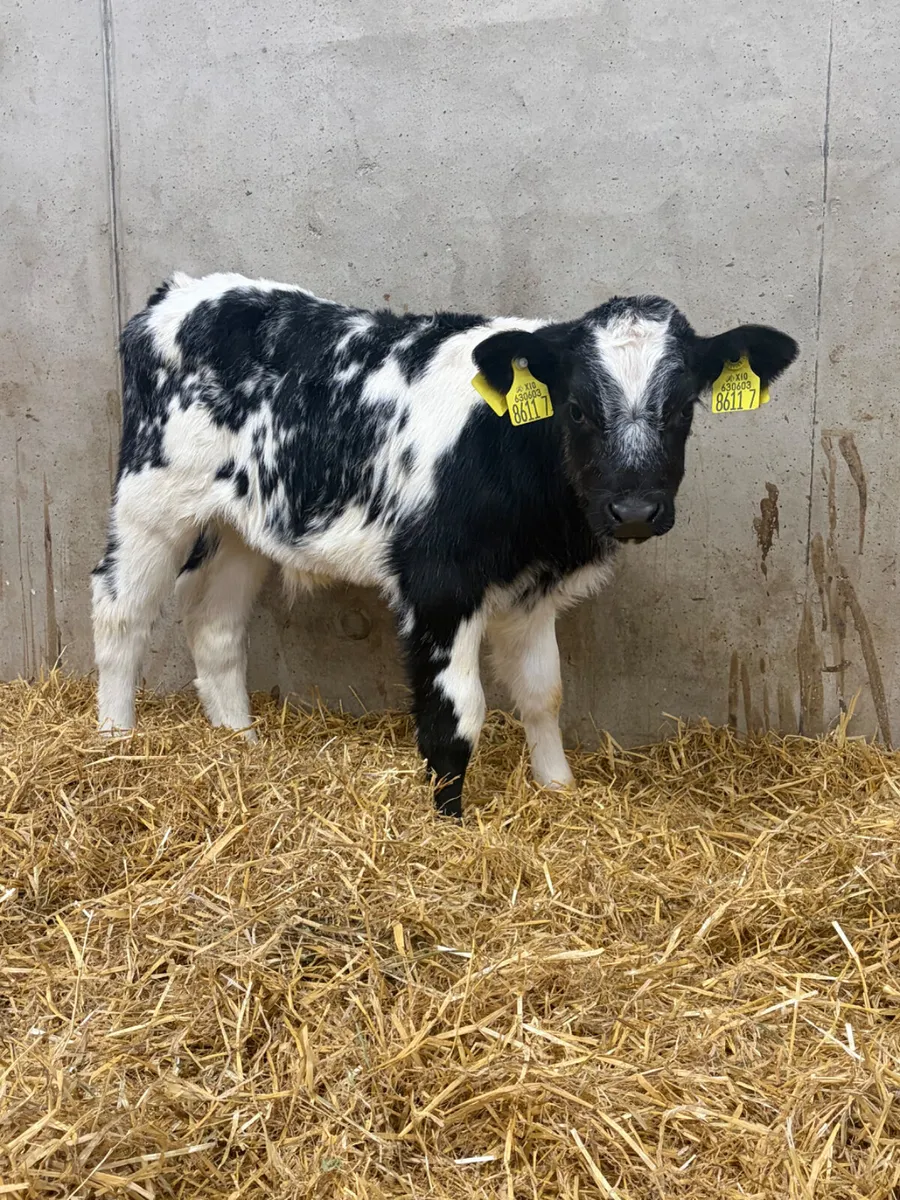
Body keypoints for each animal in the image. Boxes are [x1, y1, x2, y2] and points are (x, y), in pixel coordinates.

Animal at [92, 272, 798, 817]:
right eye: (576, 409)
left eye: (682, 409)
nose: (633, 511)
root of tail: (181, 290)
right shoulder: (438, 582)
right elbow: (457, 715)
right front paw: (448, 820)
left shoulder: (531, 589)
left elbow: (544, 694)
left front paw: (559, 790)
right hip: (150, 502)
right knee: (119, 610)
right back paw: (115, 742)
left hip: (242, 526)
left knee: (214, 627)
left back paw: (241, 745)